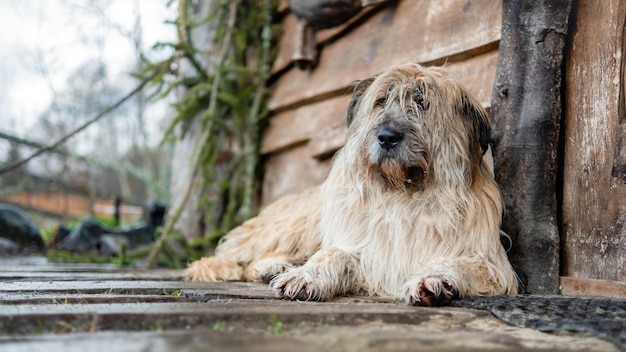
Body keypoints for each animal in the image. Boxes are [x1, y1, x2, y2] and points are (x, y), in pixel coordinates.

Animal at [184, 63, 516, 306]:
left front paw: (433, 279)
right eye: (381, 101)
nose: (386, 137)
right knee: (239, 252)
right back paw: (255, 266)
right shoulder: (361, 245)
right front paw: (307, 275)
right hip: (296, 223)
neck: (403, 193)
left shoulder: (492, 264)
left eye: (422, 102)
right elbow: (335, 253)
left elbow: (463, 264)